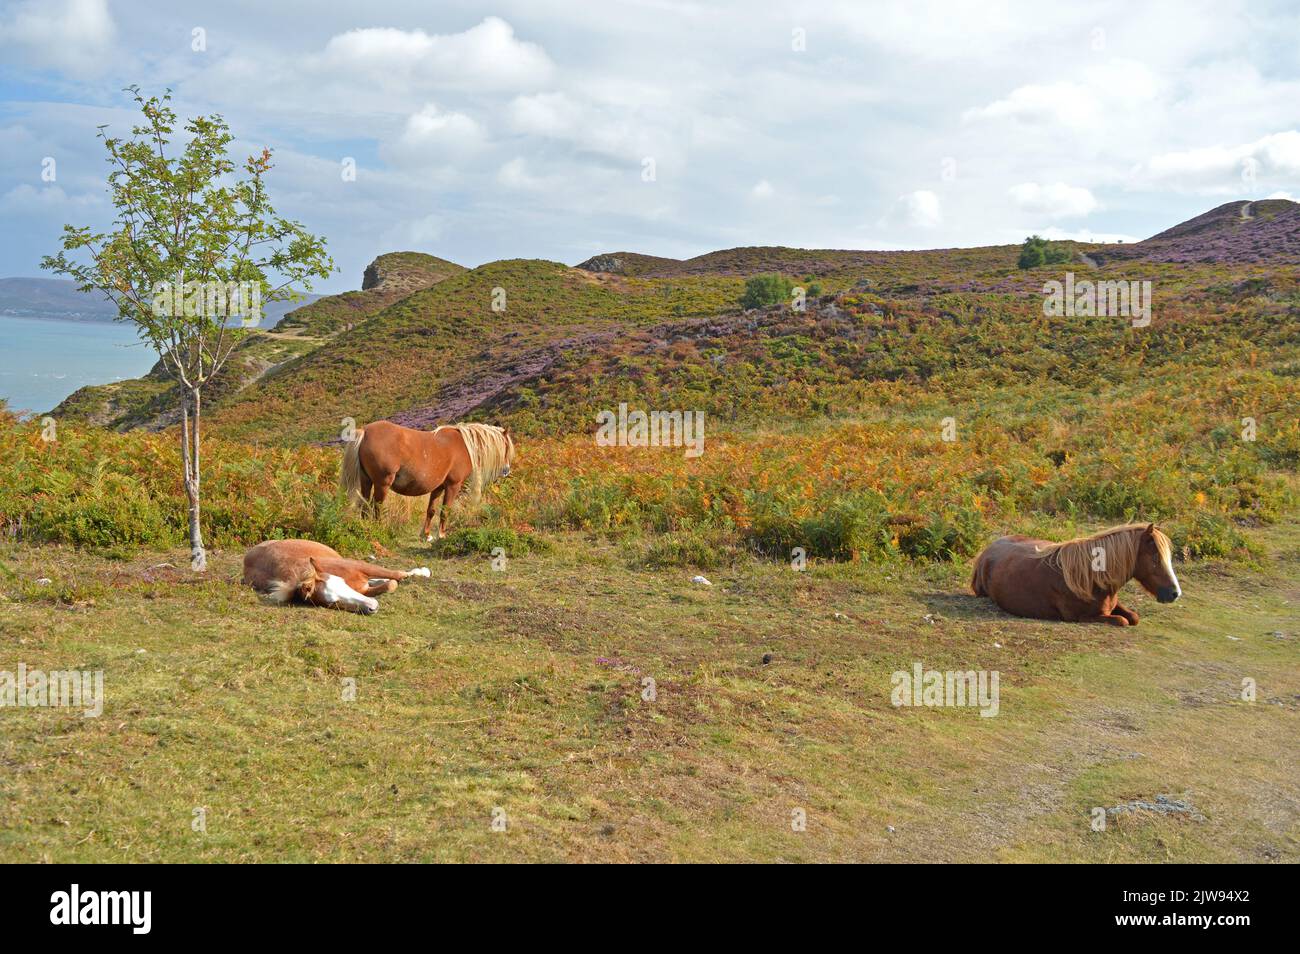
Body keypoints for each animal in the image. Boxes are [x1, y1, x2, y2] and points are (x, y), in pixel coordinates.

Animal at [240, 540, 431, 616]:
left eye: (340, 582)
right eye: (333, 603)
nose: (372, 607)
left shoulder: (361, 566)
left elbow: (396, 575)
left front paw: (421, 572)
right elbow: (390, 584)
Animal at [340, 421, 512, 540]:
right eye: (506, 446)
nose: (506, 470)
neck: (464, 445)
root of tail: (365, 431)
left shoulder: (438, 488)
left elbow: (431, 510)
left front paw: (426, 534)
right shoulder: (452, 486)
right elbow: (445, 511)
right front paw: (441, 535)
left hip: (367, 481)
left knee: (364, 505)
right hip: (382, 484)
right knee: (376, 507)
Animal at [977, 522, 1180, 629]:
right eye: (1155, 558)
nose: (1175, 593)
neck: (1091, 579)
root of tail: (989, 548)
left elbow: (1133, 616)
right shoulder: (1082, 617)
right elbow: (1122, 620)